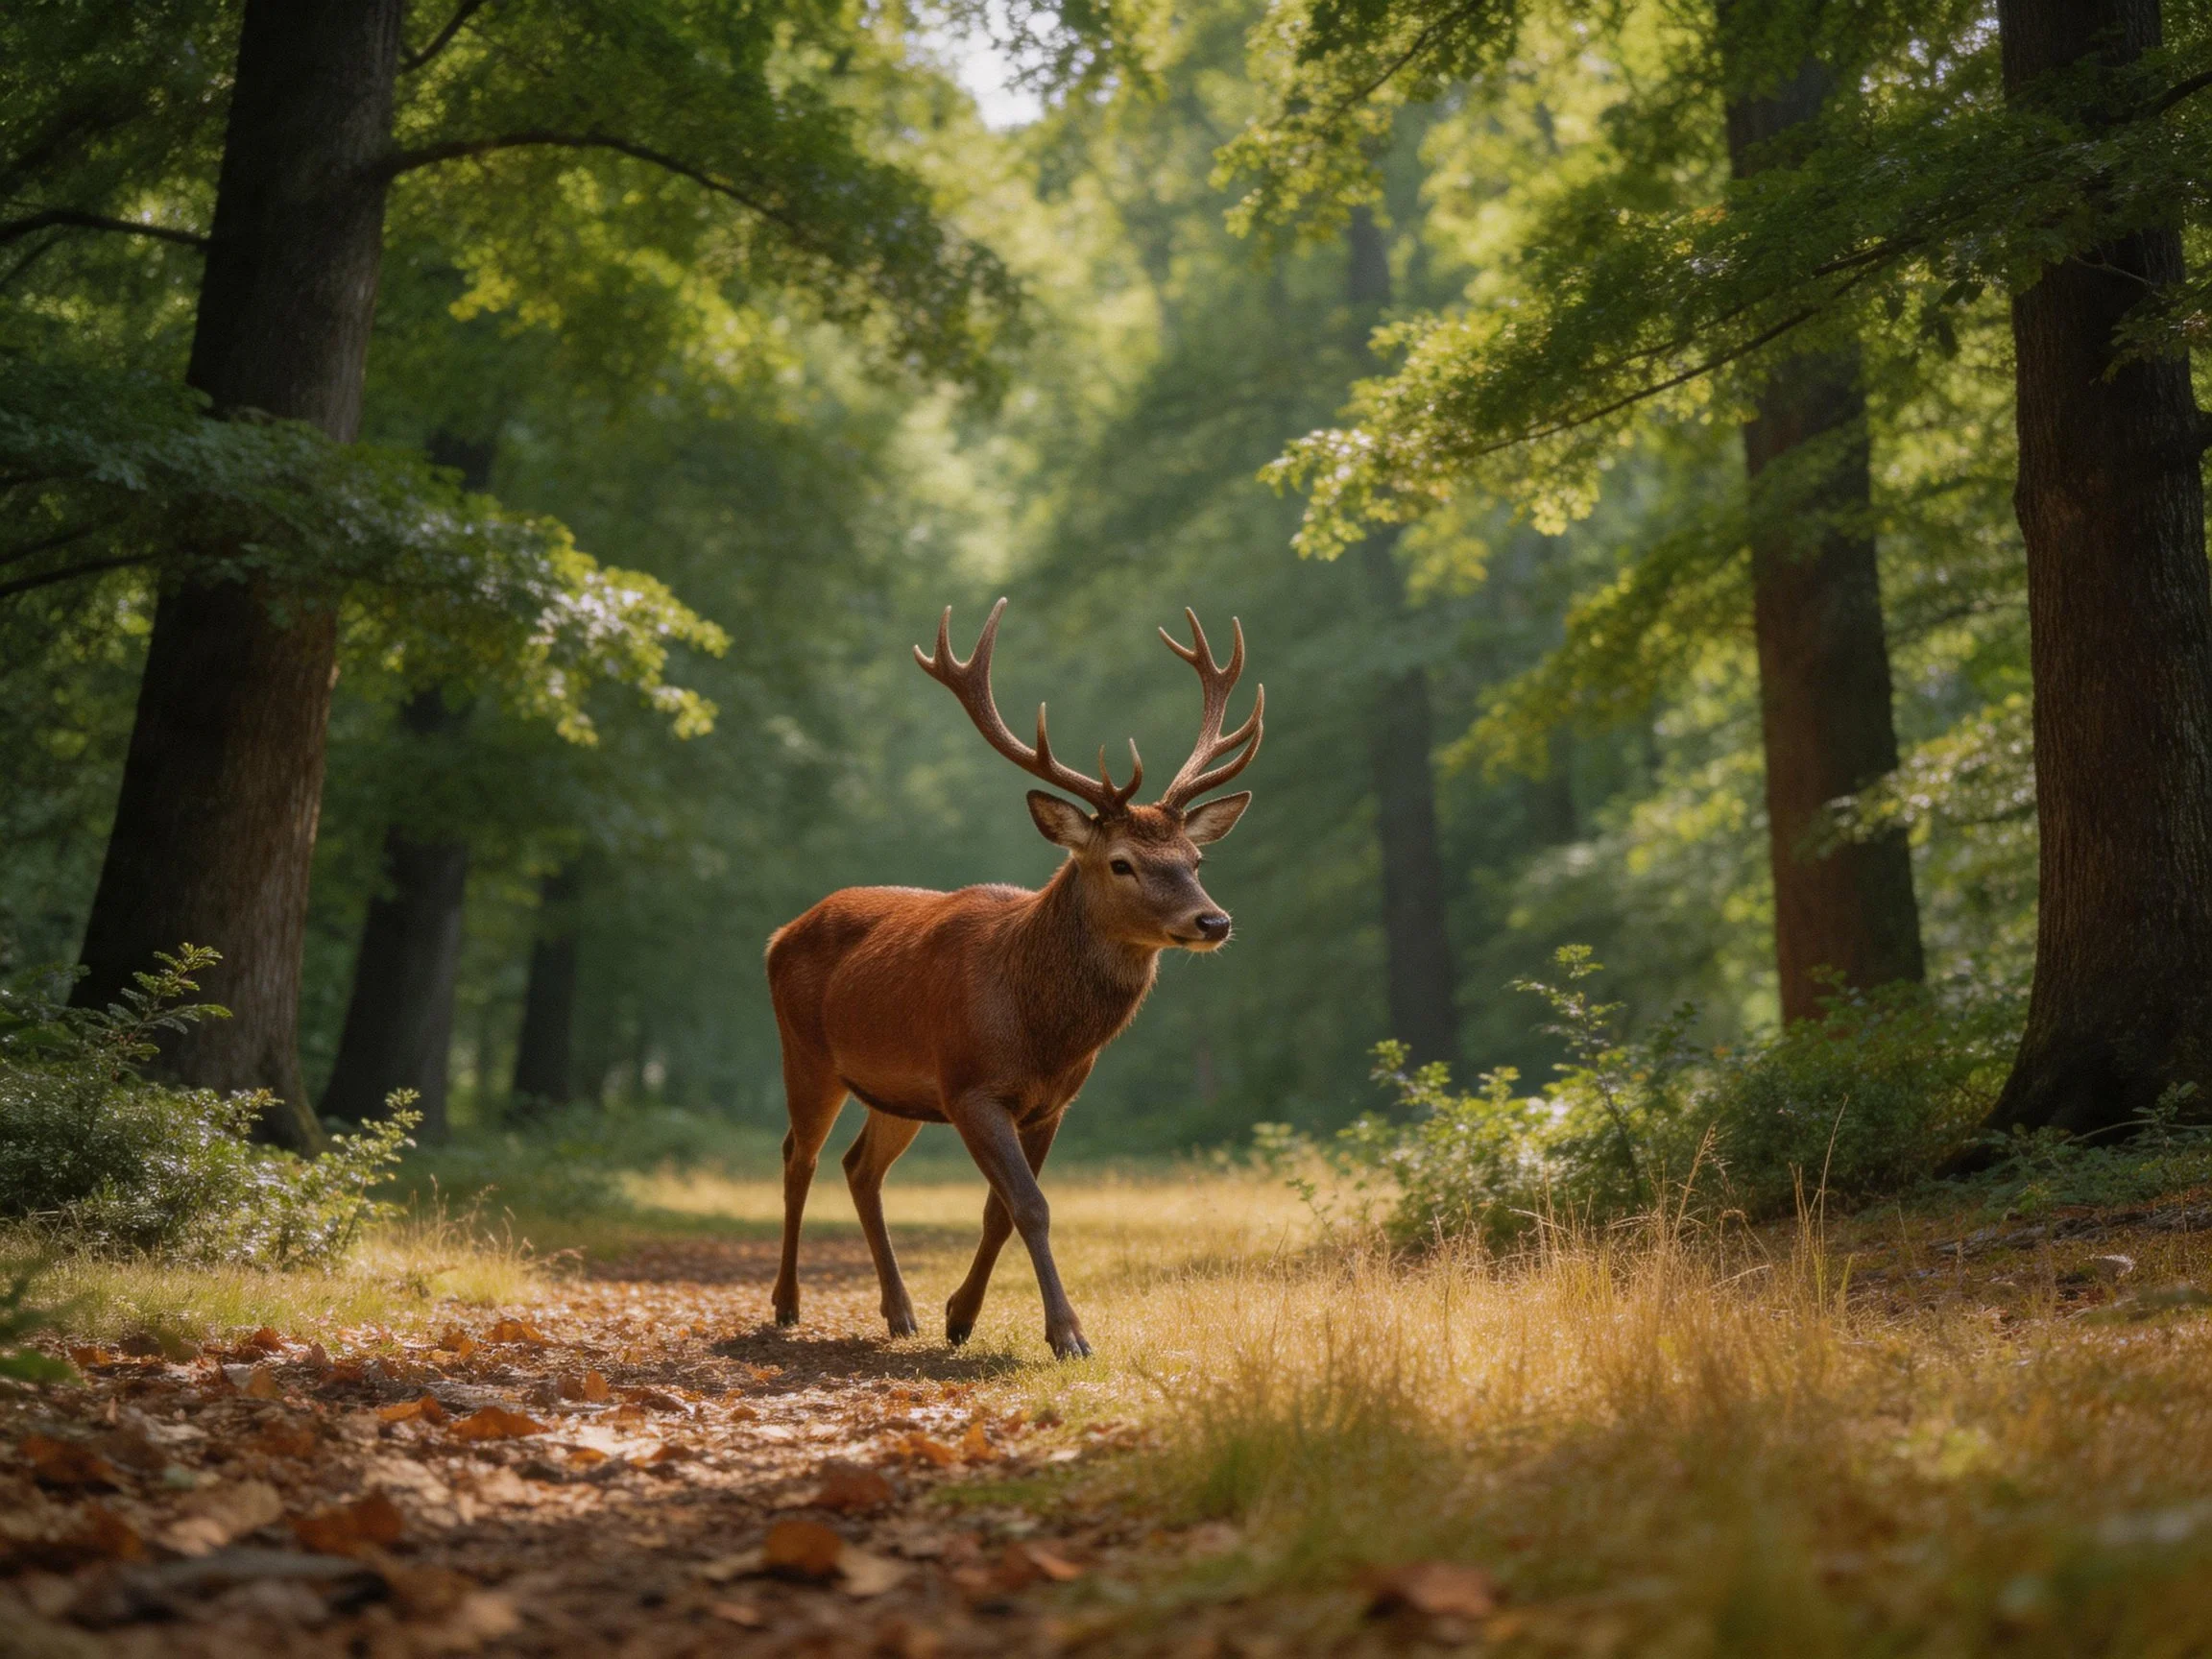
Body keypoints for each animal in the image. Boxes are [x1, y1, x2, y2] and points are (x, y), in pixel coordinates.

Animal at [763, 599, 1261, 1359]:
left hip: (895, 1091)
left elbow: (1000, 1212)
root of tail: (778, 935)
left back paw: (900, 1310)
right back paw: (787, 1303)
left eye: (1195, 858)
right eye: (1121, 862)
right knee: (800, 1158)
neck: (1041, 1032)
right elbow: (1030, 1205)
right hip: (806, 1054)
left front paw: (959, 1316)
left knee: (859, 1167)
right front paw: (1069, 1335)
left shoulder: (1051, 1103)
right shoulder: (972, 1086)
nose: (1214, 921)